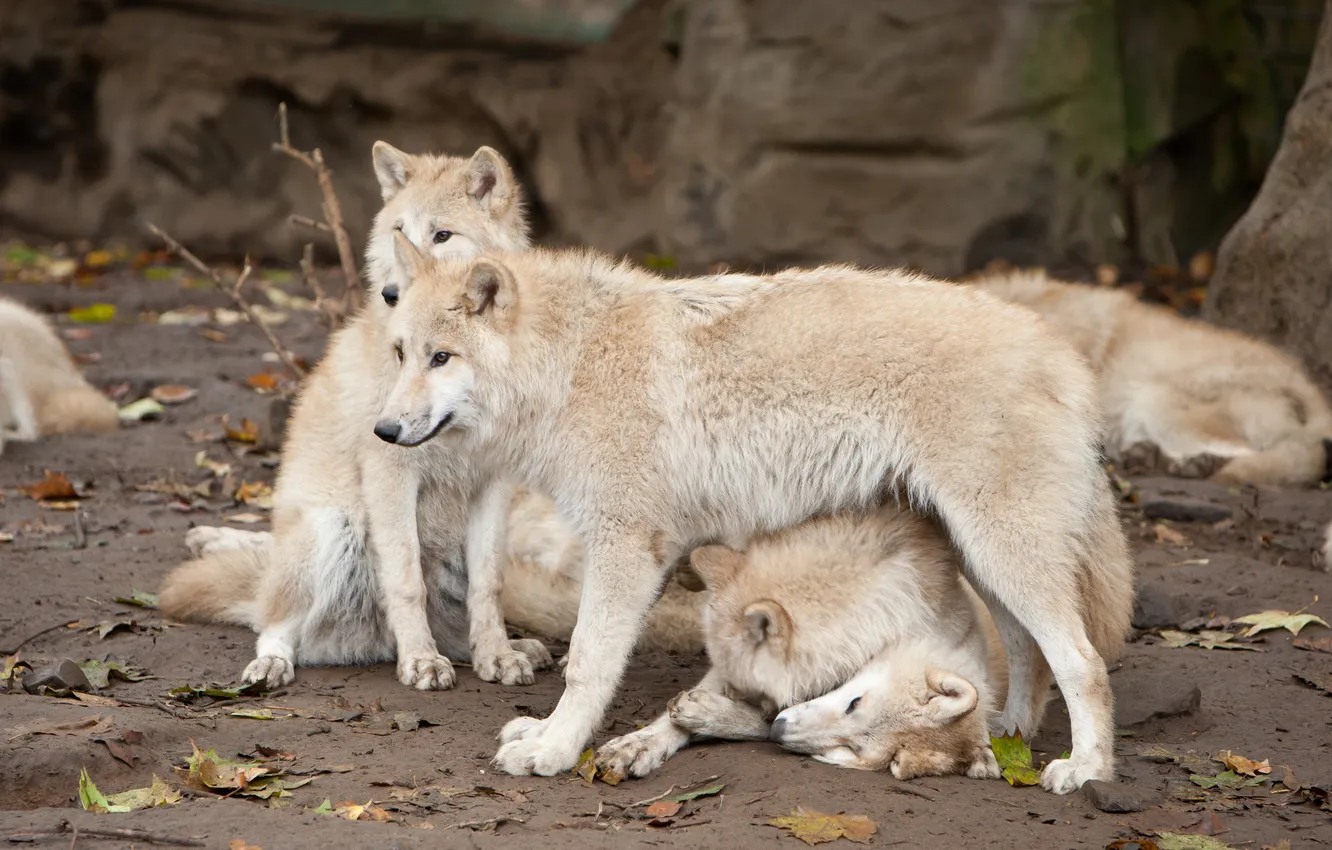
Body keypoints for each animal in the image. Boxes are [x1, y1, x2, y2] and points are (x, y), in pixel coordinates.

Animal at [375, 241, 1134, 799]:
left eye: (442, 357)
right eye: (401, 353)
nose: (382, 430)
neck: (572, 363)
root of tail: (1062, 356)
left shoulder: (627, 547)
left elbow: (587, 662)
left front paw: (555, 750)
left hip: (1005, 552)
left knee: (1083, 663)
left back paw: (1086, 771)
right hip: (985, 557)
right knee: (1032, 654)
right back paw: (1006, 735)